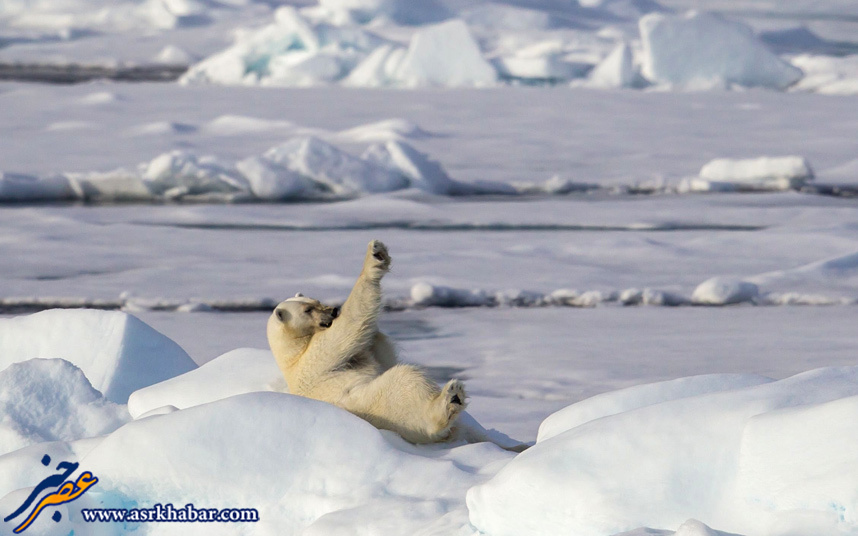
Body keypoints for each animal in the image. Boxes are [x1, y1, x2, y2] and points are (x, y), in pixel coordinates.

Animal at [268, 241, 468, 446]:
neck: (293, 356)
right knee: (405, 384)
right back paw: (451, 398)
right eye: (308, 310)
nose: (333, 310)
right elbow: (349, 325)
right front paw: (375, 256)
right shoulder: (315, 358)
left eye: (316, 300)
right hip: (377, 404)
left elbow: (379, 353)